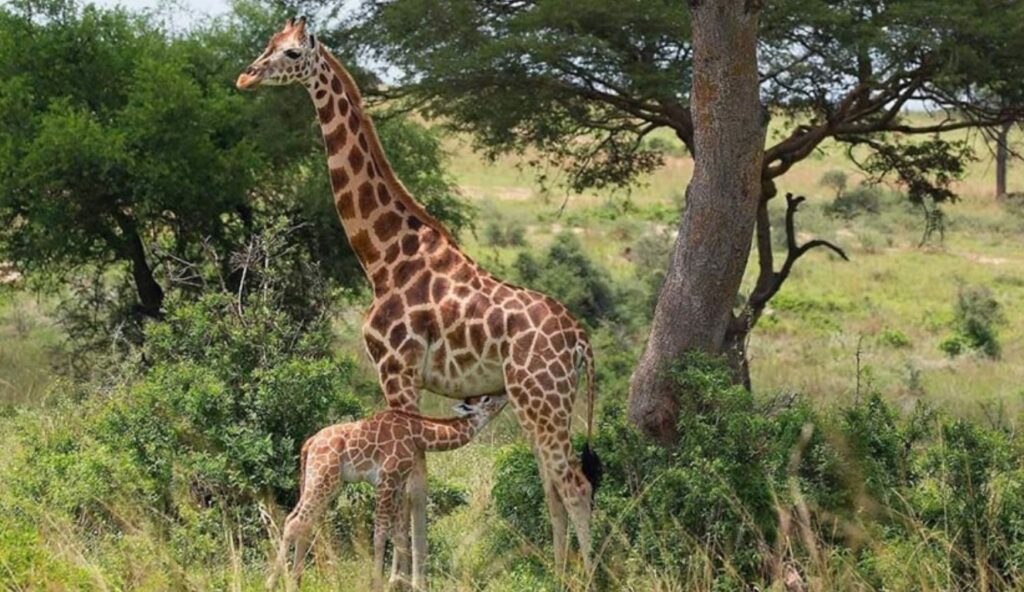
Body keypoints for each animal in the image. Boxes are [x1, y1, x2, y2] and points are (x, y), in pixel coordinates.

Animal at [266, 394, 509, 592]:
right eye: (486, 398)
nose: (505, 395)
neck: (417, 433)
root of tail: (309, 444)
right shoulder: (387, 479)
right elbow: (381, 533)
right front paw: (377, 584)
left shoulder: (400, 483)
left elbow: (400, 534)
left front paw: (402, 584)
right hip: (323, 479)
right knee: (295, 522)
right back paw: (273, 582)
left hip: (318, 481)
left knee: (301, 521)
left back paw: (295, 582)